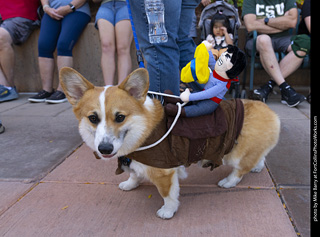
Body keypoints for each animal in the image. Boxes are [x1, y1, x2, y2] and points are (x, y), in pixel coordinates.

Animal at [59, 67, 280, 219]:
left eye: (120, 117)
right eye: (93, 118)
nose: (105, 149)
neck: (142, 129)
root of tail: (272, 113)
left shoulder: (163, 173)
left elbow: (168, 194)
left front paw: (167, 211)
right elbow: (134, 174)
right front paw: (130, 184)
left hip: (234, 155)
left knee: (240, 169)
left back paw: (228, 181)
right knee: (258, 157)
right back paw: (257, 167)